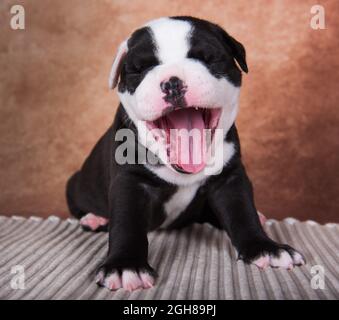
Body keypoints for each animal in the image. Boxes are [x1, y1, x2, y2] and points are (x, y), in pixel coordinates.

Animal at [66, 17, 306, 292]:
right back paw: (95, 218)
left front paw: (266, 248)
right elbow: (127, 223)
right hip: (74, 184)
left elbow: (242, 212)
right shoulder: (130, 182)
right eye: (140, 69)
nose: (173, 82)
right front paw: (126, 266)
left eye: (208, 58)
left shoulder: (230, 179)